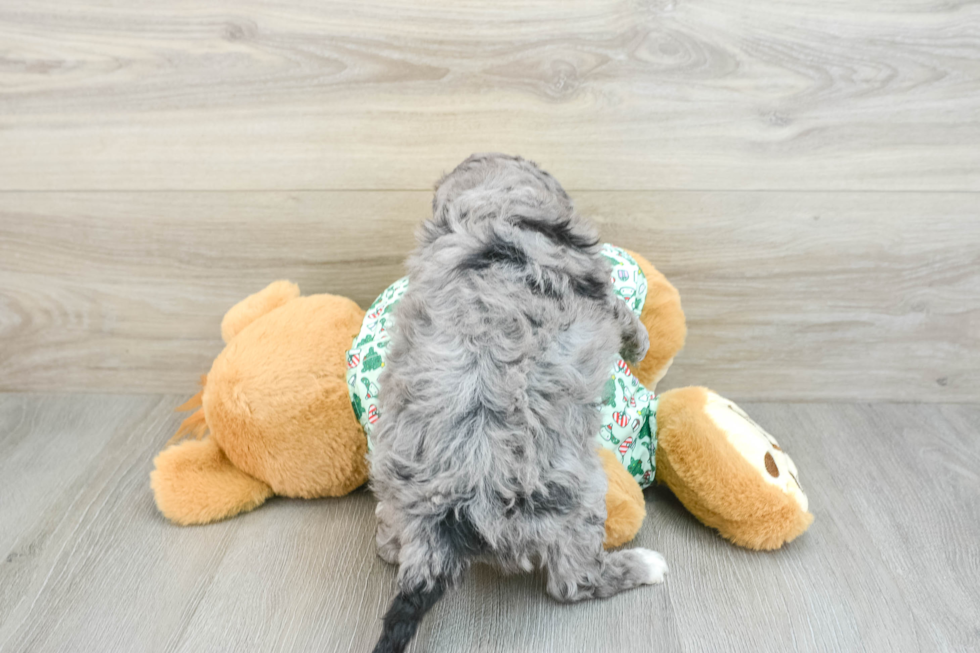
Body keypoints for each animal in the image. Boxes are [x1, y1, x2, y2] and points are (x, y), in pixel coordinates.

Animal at [368, 154, 668, 652]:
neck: (495, 207)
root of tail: (445, 521)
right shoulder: (598, 286)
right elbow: (623, 312)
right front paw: (640, 344)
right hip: (578, 498)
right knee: (573, 582)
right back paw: (641, 566)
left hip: (395, 481)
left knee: (390, 540)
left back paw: (388, 540)